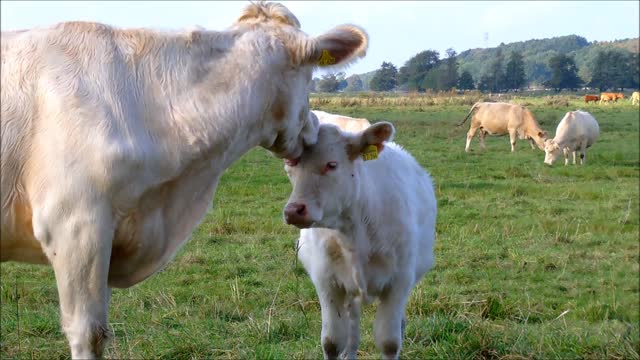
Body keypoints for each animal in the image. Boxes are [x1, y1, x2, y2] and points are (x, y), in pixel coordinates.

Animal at [282, 122, 438, 358]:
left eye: (332, 164)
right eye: (291, 163)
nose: (293, 210)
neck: (354, 233)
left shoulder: (400, 281)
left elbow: (389, 342)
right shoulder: (326, 281)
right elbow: (332, 342)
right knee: (351, 331)